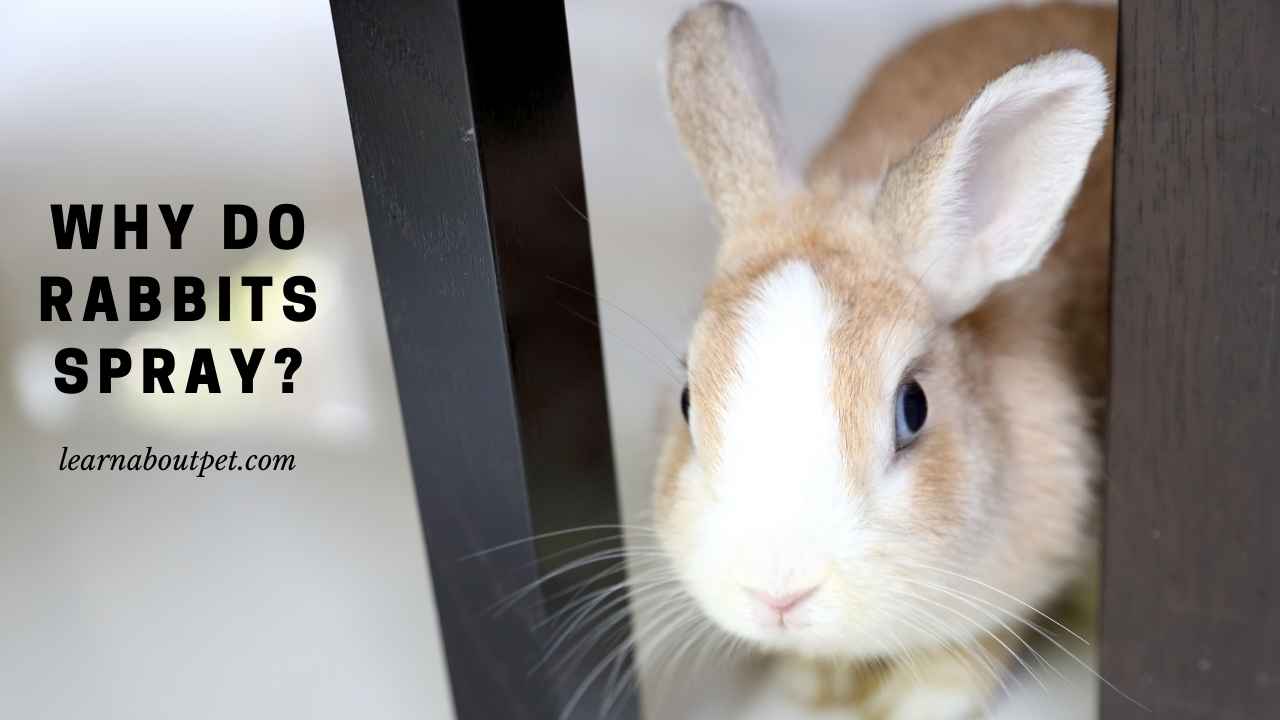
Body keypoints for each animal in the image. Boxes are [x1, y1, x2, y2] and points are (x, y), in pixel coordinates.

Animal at [651, 2, 1115, 718]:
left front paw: (913, 702)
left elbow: (967, 653)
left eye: (913, 409)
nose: (778, 593)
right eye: (685, 402)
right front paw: (811, 686)